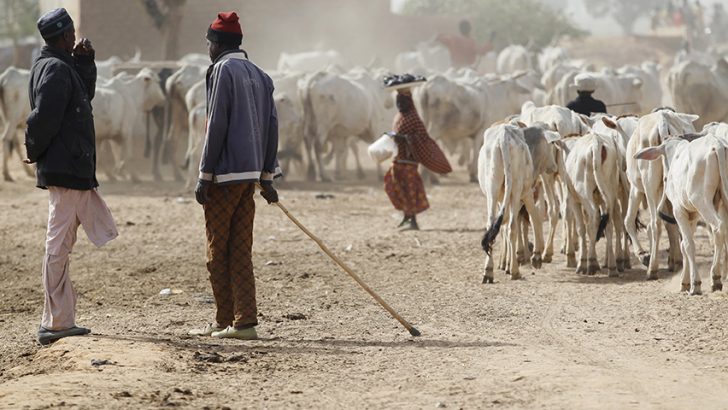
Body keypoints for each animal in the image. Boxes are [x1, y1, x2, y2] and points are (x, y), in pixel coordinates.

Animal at [480, 122, 544, 282]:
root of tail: (504, 137)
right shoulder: (527, 193)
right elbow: (535, 217)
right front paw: (537, 255)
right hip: (516, 189)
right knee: (512, 226)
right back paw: (514, 270)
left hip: (493, 188)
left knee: (493, 224)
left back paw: (489, 271)